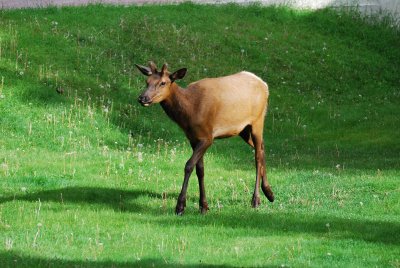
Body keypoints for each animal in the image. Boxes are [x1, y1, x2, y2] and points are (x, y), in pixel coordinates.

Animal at [136, 61, 274, 215]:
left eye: (163, 83)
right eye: (147, 81)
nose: (142, 98)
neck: (189, 113)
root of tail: (265, 85)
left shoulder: (207, 137)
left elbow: (189, 165)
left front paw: (180, 206)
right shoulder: (193, 138)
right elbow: (200, 170)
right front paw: (204, 206)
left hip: (258, 121)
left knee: (257, 156)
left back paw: (256, 199)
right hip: (243, 130)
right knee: (262, 148)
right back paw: (269, 192)